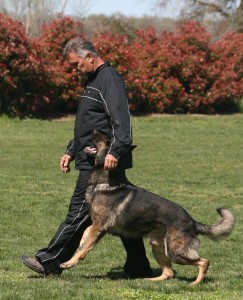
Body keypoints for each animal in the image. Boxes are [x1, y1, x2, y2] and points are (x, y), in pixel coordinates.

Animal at [59, 130, 234, 284]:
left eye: (107, 141)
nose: (93, 130)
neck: (104, 181)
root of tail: (191, 221)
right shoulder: (95, 225)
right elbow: (85, 234)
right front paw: (81, 241)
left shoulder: (100, 227)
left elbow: (83, 249)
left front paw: (69, 263)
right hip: (158, 245)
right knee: (169, 273)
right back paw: (150, 280)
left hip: (174, 251)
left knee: (204, 262)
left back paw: (196, 283)